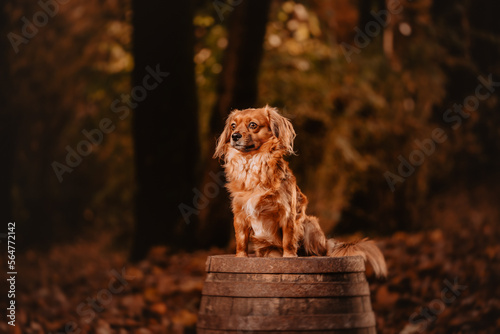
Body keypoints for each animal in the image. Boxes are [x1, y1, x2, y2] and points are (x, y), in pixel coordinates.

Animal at [213, 105, 388, 276]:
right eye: (233, 126)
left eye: (252, 125)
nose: (234, 136)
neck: (252, 162)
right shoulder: (240, 214)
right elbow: (241, 240)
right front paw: (240, 258)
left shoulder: (287, 213)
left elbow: (288, 240)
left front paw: (289, 258)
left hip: (310, 223)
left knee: (320, 252)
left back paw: (310, 255)